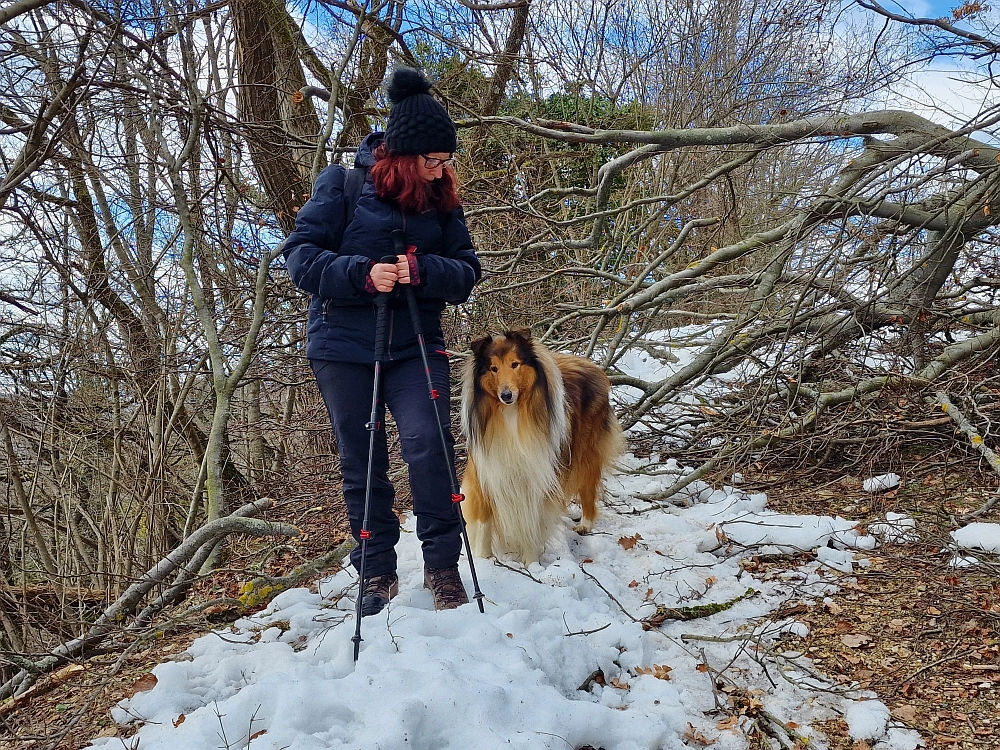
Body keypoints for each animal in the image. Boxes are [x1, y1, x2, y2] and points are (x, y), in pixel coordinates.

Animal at [462, 328, 624, 564]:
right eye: (493, 368)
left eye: (515, 364)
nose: (506, 395)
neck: (512, 415)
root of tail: (592, 365)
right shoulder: (486, 470)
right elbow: (484, 520)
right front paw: (484, 560)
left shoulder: (536, 474)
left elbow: (531, 519)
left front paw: (531, 564)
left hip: (585, 454)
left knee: (588, 488)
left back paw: (585, 524)